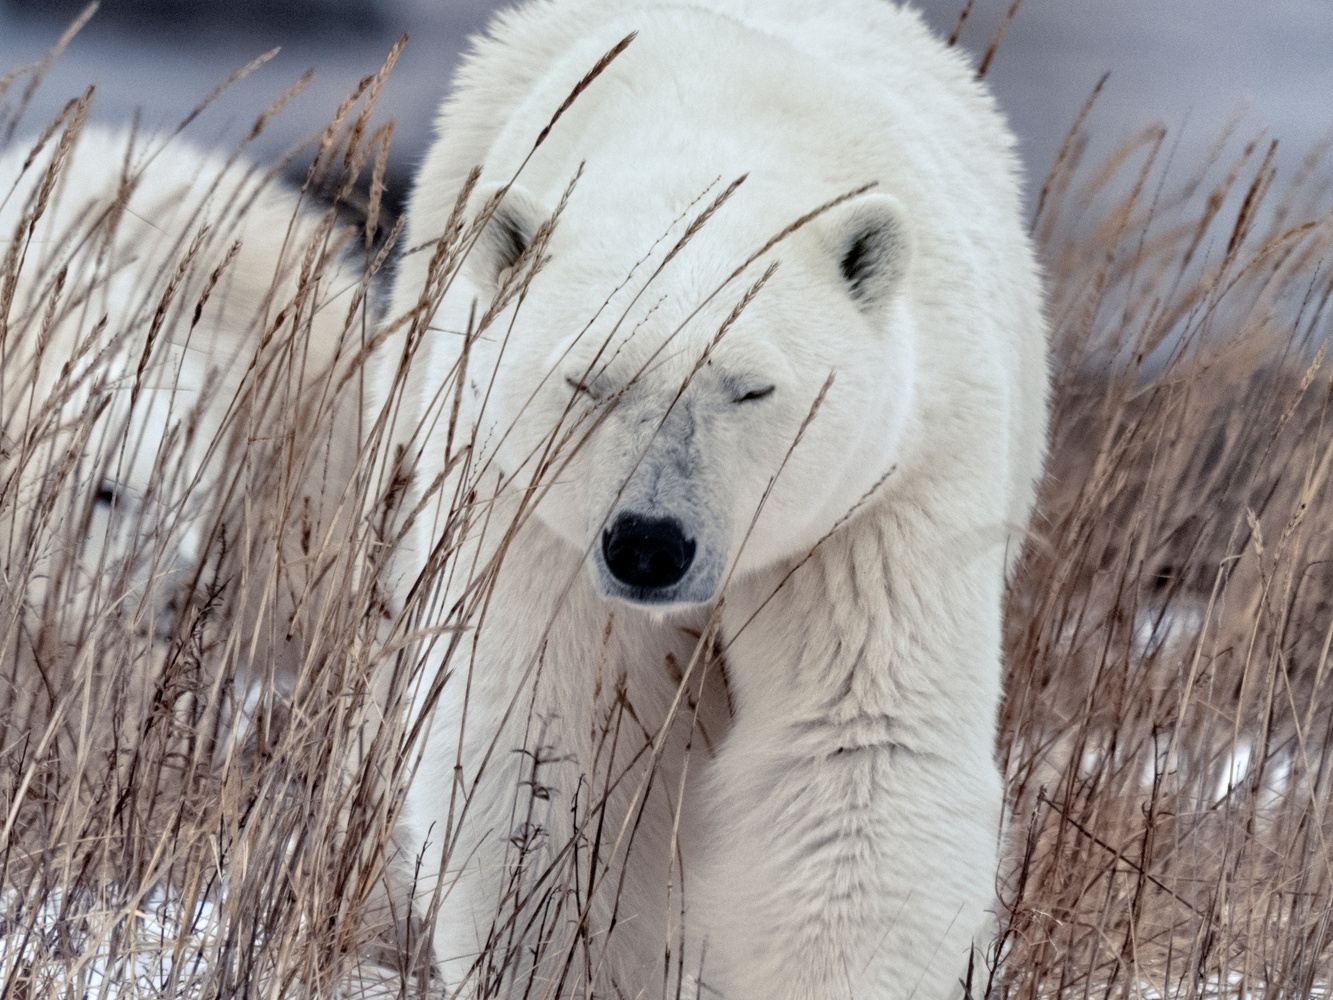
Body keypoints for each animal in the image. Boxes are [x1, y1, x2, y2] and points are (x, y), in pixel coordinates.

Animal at [373, 1, 1048, 997]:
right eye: (589, 378)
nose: (650, 545)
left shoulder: (883, 492)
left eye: (750, 388)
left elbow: (851, 746)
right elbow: (551, 748)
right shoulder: (517, 500)